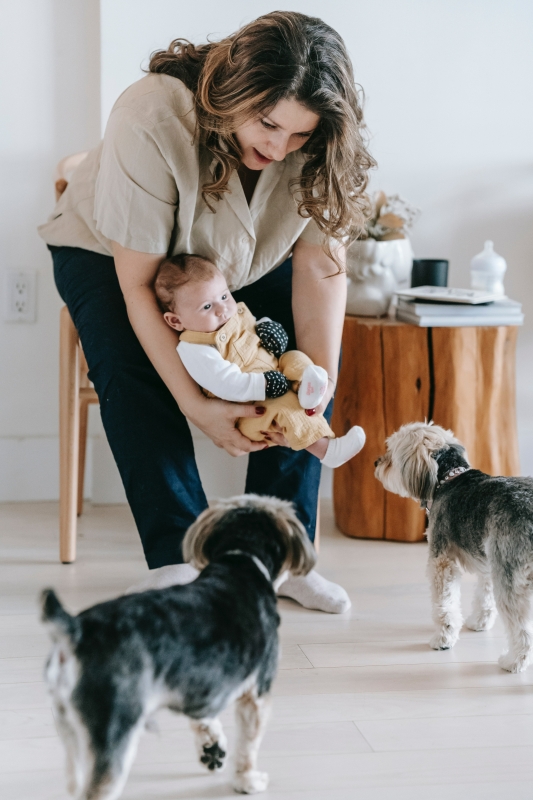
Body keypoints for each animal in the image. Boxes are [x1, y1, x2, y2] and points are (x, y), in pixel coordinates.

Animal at [42, 494, 316, 800]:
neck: (242, 559)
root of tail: (75, 631)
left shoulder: (200, 685)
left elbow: (203, 717)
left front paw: (212, 748)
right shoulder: (255, 694)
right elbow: (248, 744)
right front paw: (247, 780)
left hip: (70, 723)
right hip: (115, 723)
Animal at [374, 424, 532, 676]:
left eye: (391, 452)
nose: (376, 463)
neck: (449, 479)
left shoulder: (441, 562)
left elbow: (444, 606)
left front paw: (443, 639)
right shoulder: (488, 561)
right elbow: (484, 596)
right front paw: (479, 622)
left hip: (512, 578)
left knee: (522, 629)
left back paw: (514, 661)